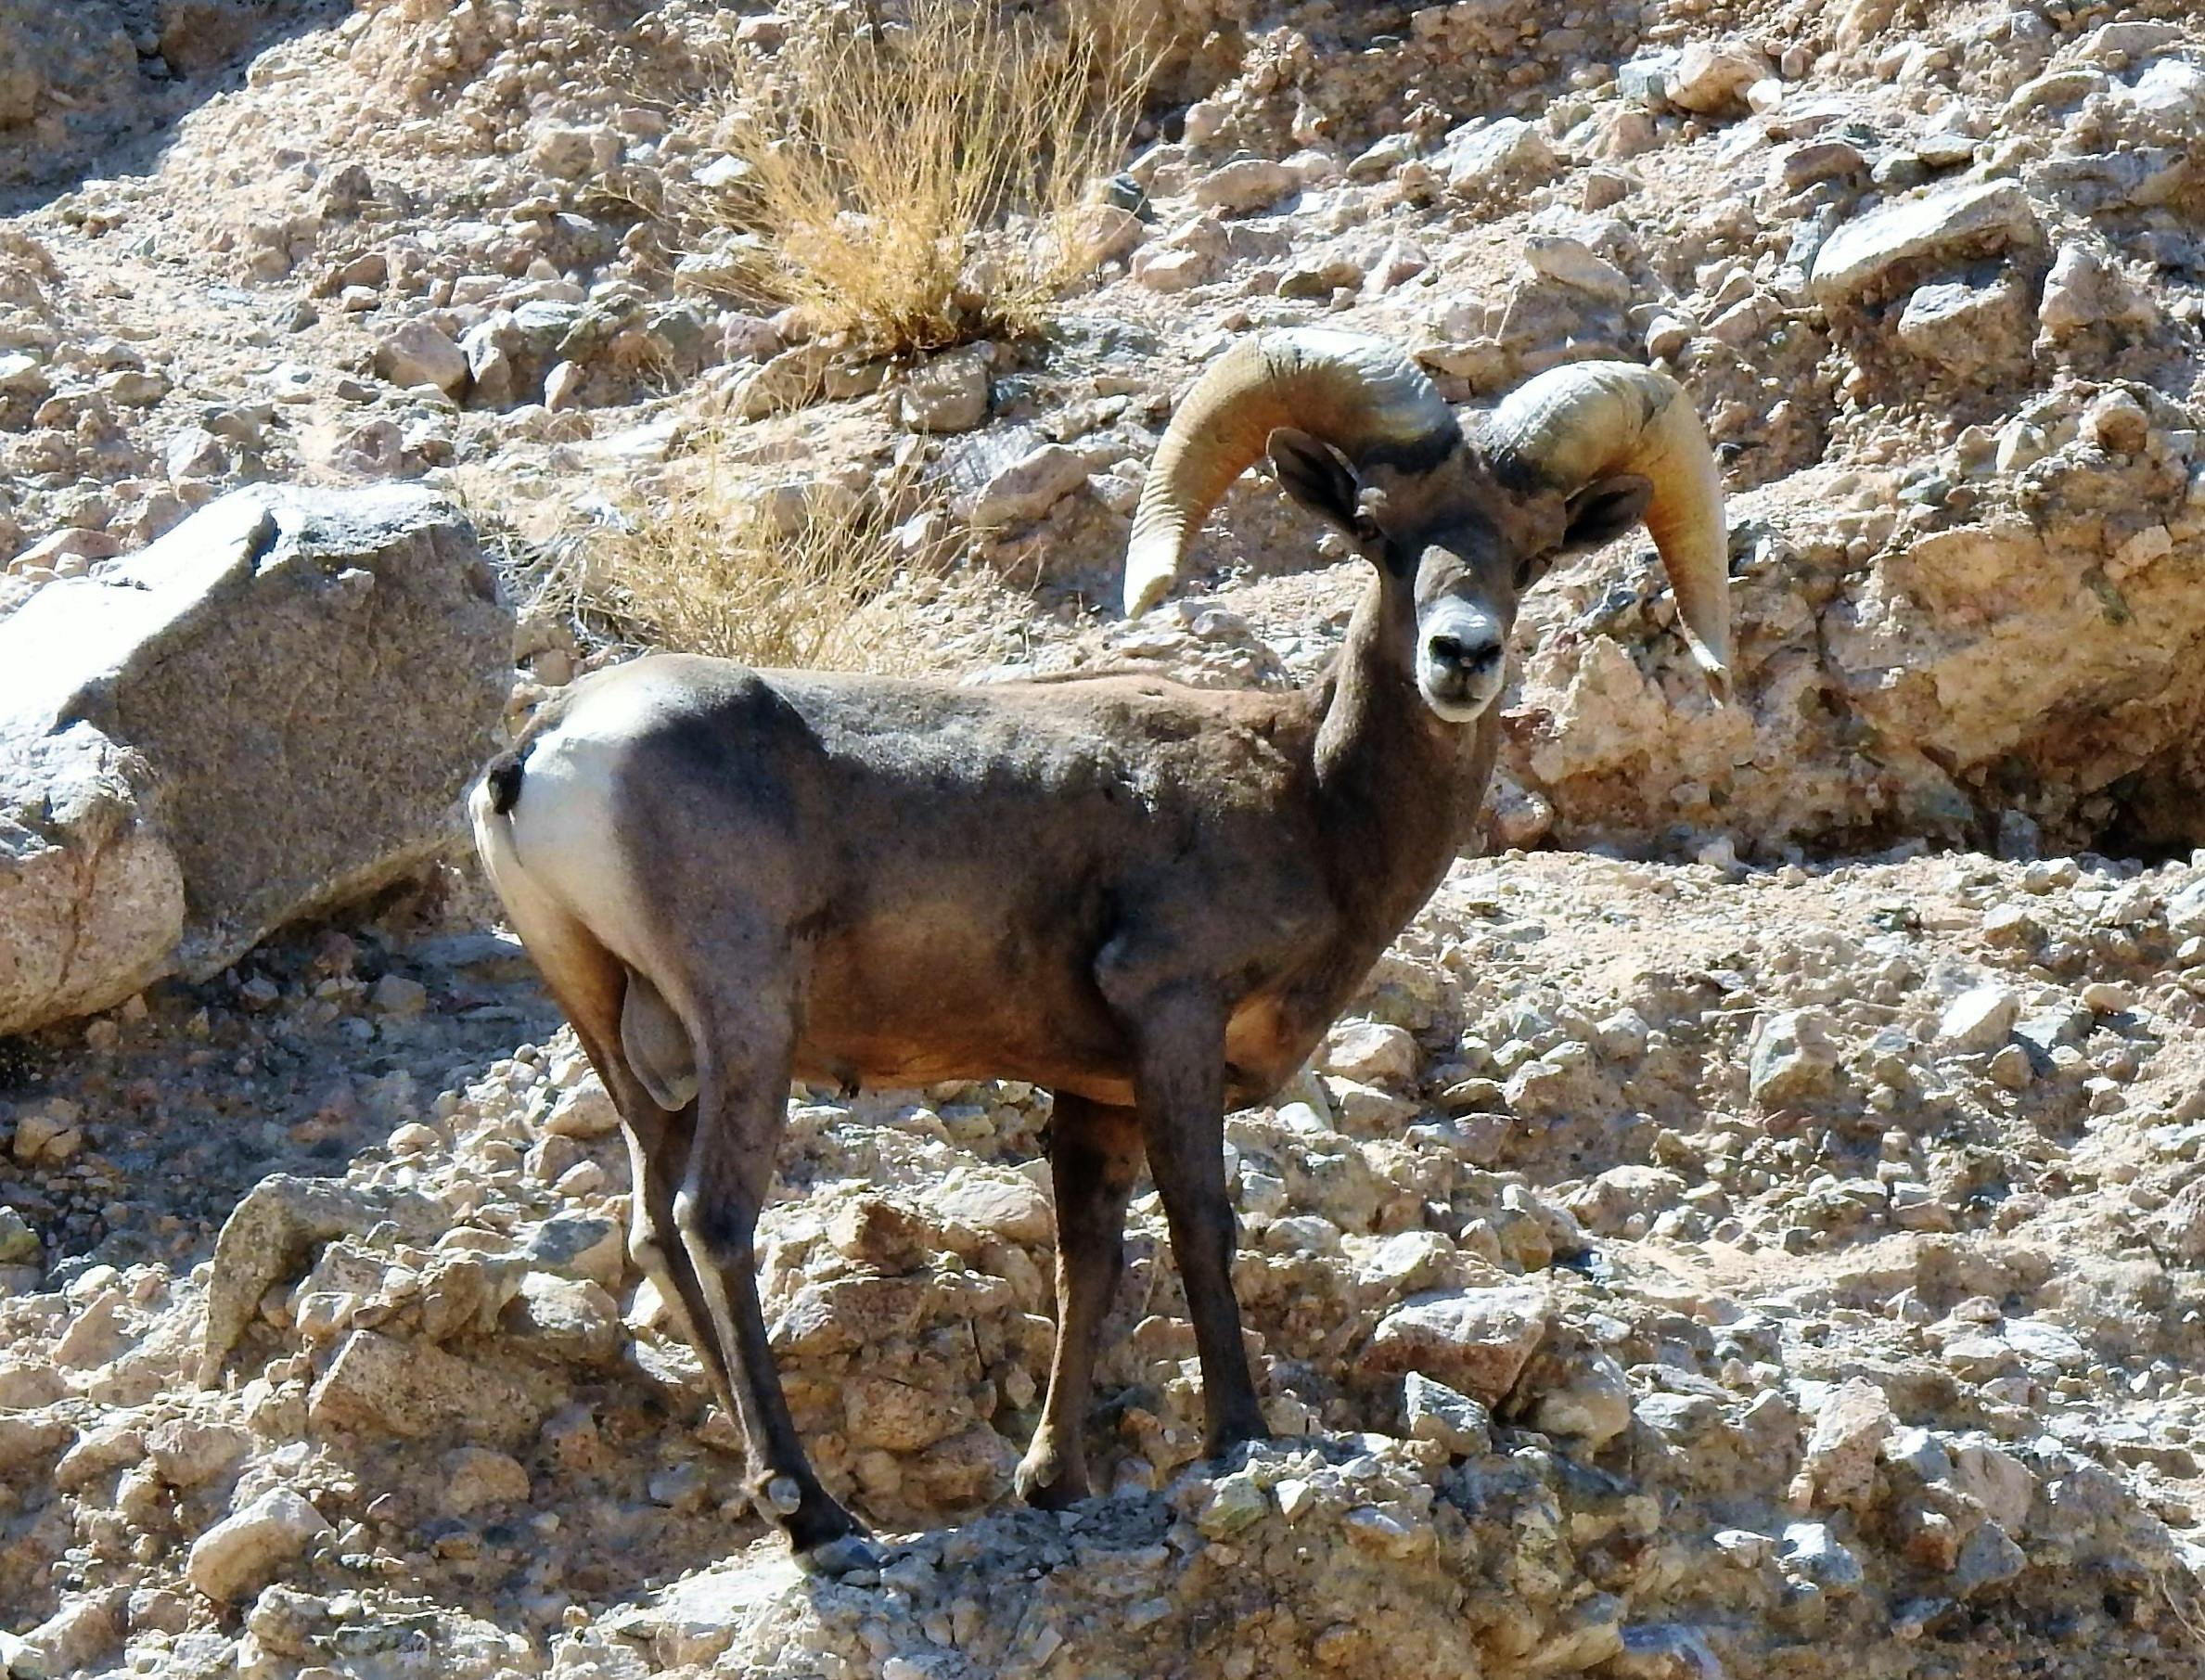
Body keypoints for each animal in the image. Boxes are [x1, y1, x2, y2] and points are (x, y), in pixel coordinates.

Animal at [469, 328, 1730, 1572]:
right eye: (1378, 532)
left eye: (1533, 549)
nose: (1462, 656)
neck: (1313, 800)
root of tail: (543, 752)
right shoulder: (1172, 1016)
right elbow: (1201, 1220)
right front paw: (1241, 1435)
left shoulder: (1096, 1097)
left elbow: (1091, 1258)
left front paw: (1054, 1482)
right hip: (747, 1023)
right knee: (715, 1219)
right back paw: (815, 1511)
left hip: (628, 1046)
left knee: (654, 1224)